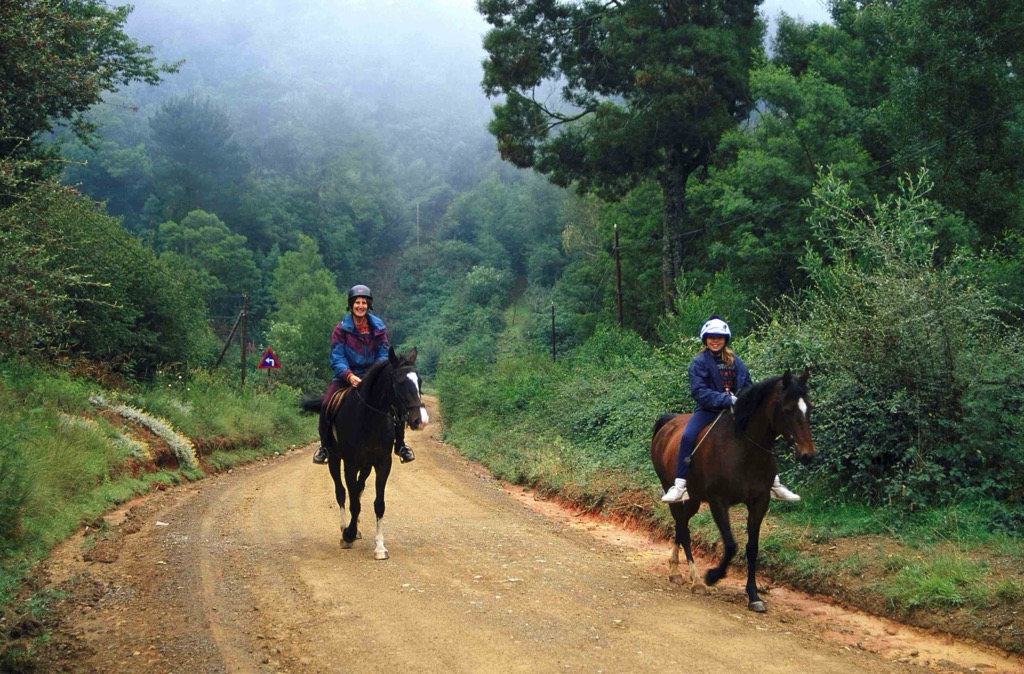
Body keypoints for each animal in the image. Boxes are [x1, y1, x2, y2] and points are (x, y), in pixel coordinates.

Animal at [651, 370, 819, 610]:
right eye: (787, 410)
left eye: (809, 407)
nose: (807, 455)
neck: (744, 449)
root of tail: (668, 424)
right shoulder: (718, 501)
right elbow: (731, 545)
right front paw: (712, 575)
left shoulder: (759, 502)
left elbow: (752, 548)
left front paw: (754, 595)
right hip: (672, 489)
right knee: (683, 528)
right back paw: (695, 579)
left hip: (693, 499)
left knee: (680, 525)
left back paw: (676, 571)